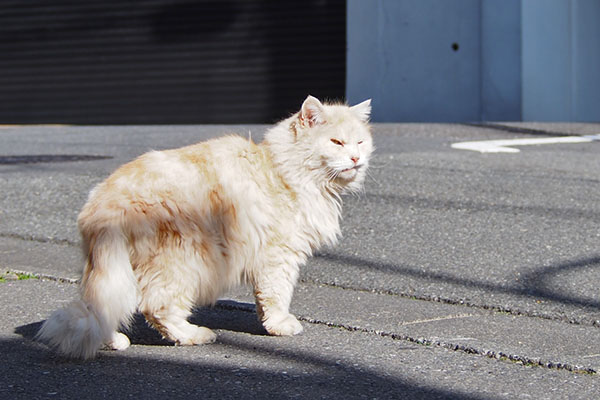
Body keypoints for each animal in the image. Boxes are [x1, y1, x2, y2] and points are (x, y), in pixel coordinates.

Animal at [37, 96, 372, 360]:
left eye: (360, 142)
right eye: (337, 142)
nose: (356, 158)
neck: (282, 169)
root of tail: (103, 204)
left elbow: (262, 299)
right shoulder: (280, 256)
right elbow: (277, 294)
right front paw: (279, 325)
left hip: (116, 270)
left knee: (106, 306)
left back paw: (114, 341)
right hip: (182, 262)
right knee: (156, 307)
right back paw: (195, 335)